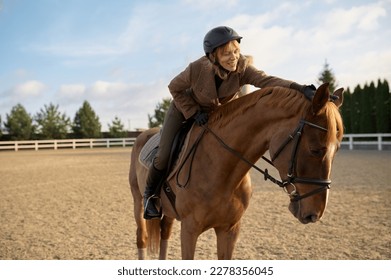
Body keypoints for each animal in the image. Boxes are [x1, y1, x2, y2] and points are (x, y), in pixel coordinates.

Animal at [129, 83, 344, 260]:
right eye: (316, 150)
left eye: (337, 149)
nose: (315, 214)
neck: (222, 169)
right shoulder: (189, 230)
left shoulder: (229, 230)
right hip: (138, 201)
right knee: (142, 237)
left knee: (164, 234)